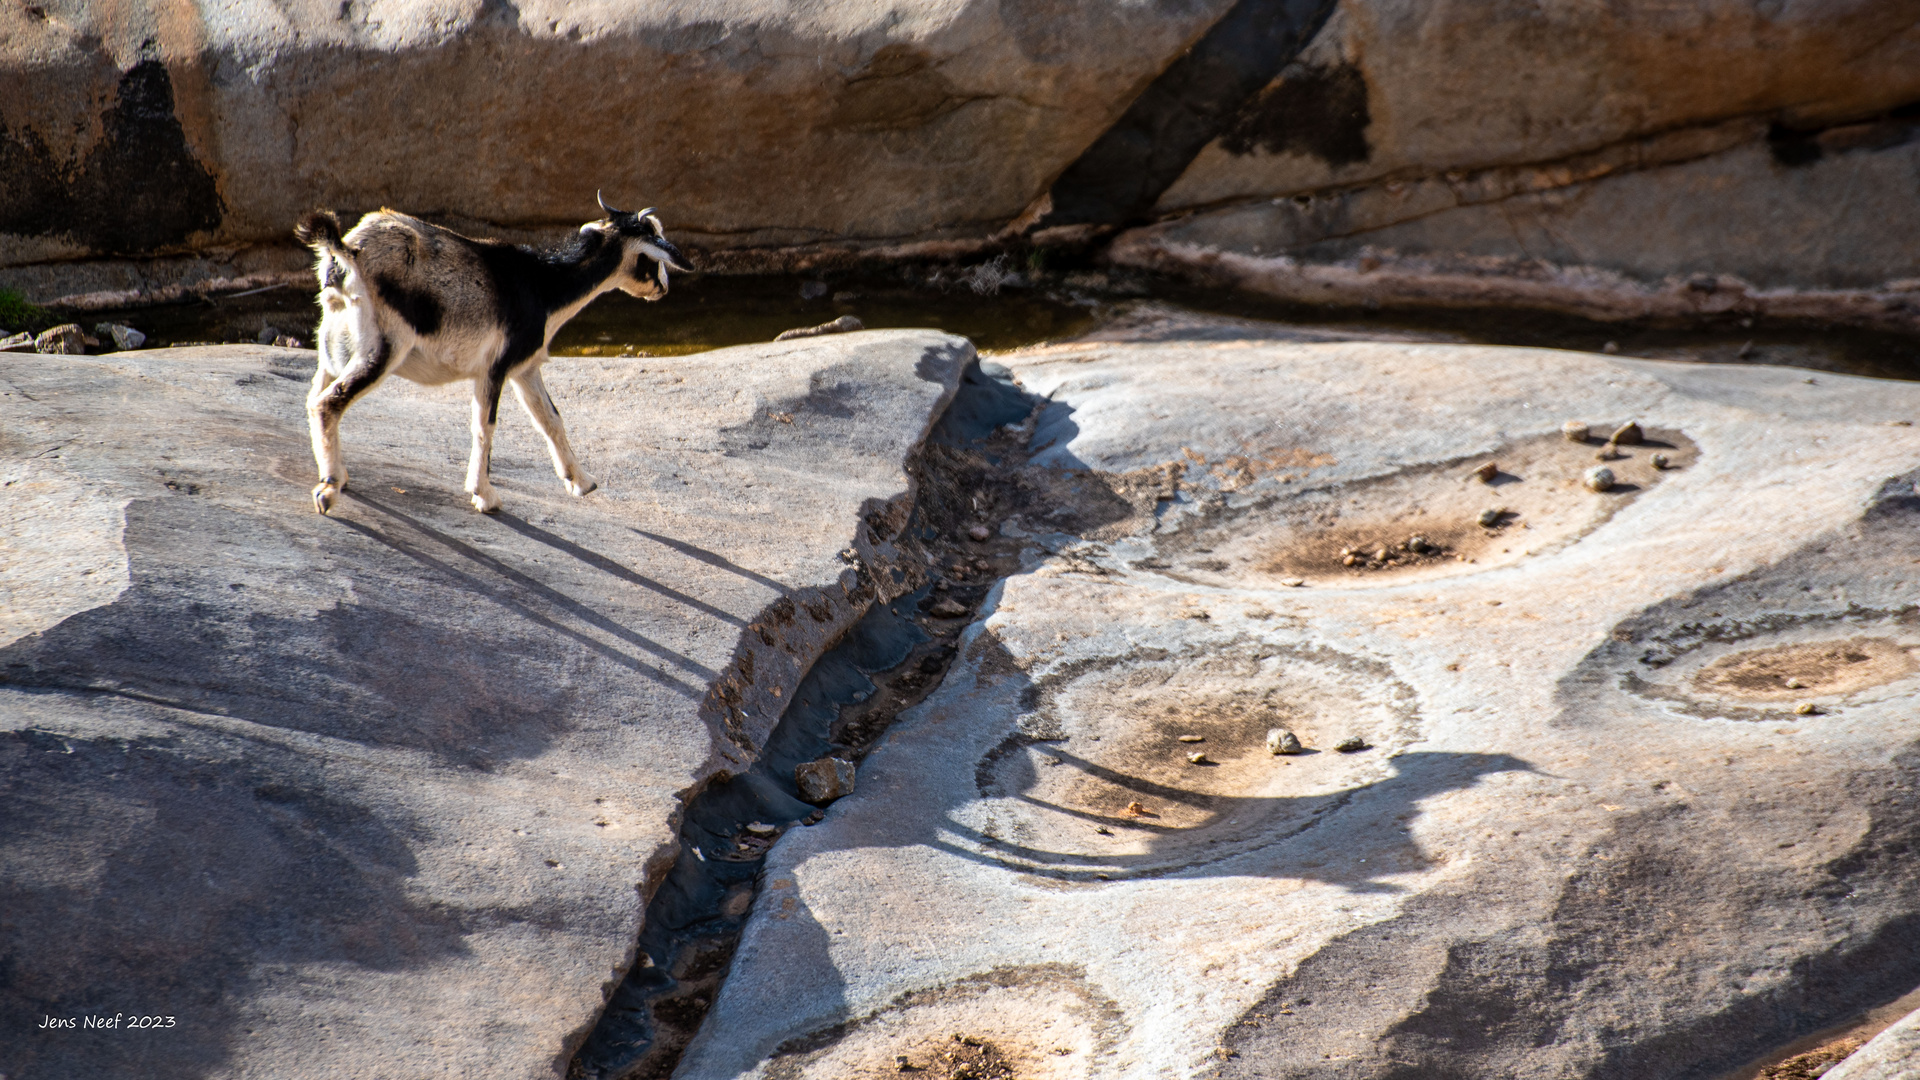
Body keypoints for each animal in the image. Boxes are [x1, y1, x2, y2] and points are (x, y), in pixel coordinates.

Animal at [291, 195, 691, 515]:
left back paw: (338, 475)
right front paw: (485, 496)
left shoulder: (525, 369)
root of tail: (348, 252)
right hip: (383, 347)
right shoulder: (494, 368)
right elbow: (485, 427)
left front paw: (582, 482)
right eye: (651, 257)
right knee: (329, 403)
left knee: (313, 399)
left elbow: (550, 419)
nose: (663, 289)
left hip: (334, 345)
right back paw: (329, 491)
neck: (544, 286)